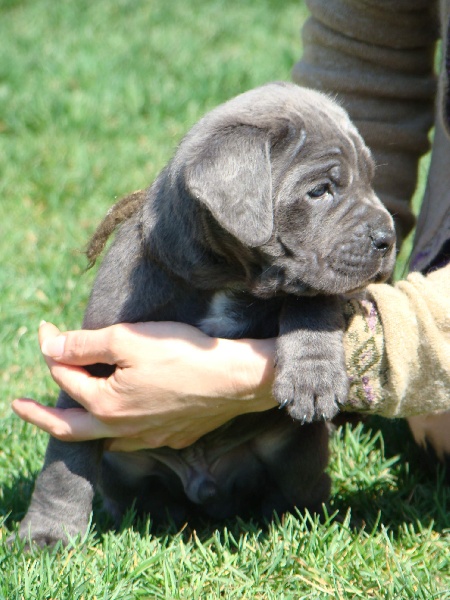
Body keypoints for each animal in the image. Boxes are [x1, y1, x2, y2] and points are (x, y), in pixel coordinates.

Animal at [16, 82, 394, 548]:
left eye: (371, 180)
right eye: (320, 190)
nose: (388, 237)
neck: (228, 279)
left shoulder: (319, 282)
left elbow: (313, 299)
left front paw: (313, 375)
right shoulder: (86, 366)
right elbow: (65, 461)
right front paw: (45, 534)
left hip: (298, 452)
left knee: (300, 489)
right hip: (124, 469)